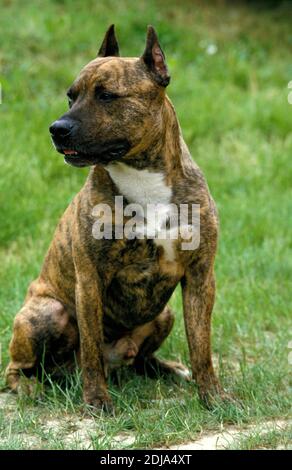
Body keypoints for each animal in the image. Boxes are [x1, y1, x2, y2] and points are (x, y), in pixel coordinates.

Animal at [5, 25, 230, 410]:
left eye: (107, 95)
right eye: (71, 97)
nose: (57, 128)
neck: (141, 175)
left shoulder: (200, 276)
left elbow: (202, 345)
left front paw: (212, 396)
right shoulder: (89, 281)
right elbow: (92, 348)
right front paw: (97, 401)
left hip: (164, 313)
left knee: (141, 358)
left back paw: (166, 369)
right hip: (47, 313)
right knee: (18, 368)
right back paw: (32, 388)